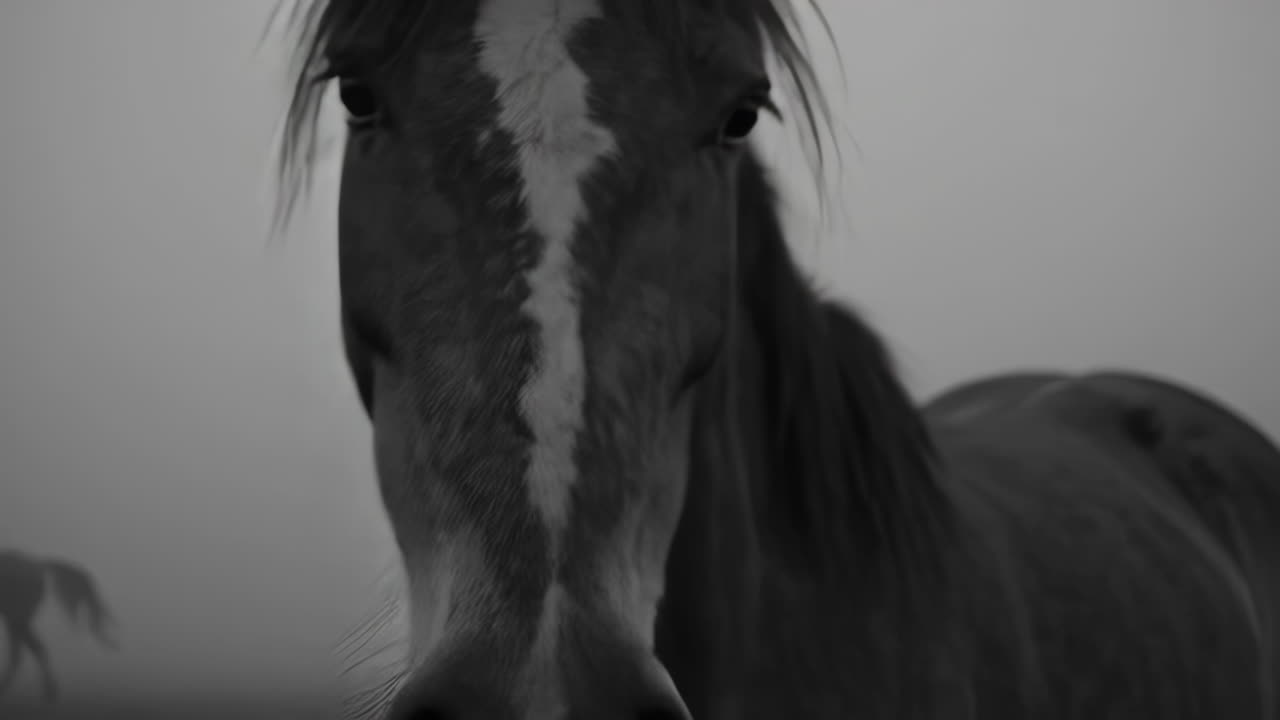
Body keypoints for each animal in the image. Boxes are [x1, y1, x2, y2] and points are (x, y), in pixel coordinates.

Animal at [0, 550, 117, 702]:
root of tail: (38, 564)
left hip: (17, 617)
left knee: (31, 650)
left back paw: (47, 692)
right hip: (15, 619)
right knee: (25, 652)